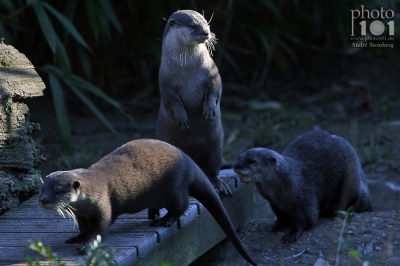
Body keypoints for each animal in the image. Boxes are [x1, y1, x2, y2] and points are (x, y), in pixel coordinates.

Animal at [37, 139, 256, 266]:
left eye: (58, 191)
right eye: (42, 188)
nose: (43, 200)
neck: (94, 186)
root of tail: (188, 161)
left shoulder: (103, 205)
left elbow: (100, 228)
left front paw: (87, 246)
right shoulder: (81, 214)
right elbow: (84, 227)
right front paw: (78, 237)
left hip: (174, 187)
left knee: (182, 205)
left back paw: (164, 220)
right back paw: (153, 213)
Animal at [156, 9, 231, 195]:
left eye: (206, 23)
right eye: (192, 25)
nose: (206, 32)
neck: (188, 69)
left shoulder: (212, 72)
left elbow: (215, 90)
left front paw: (210, 109)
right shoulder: (165, 82)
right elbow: (172, 101)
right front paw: (182, 117)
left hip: (215, 147)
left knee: (212, 169)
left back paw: (218, 184)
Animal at [233, 130, 374, 242]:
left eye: (252, 161)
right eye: (239, 157)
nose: (236, 166)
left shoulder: (304, 197)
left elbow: (307, 219)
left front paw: (293, 233)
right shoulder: (274, 203)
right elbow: (281, 216)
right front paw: (278, 225)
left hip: (351, 180)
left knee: (357, 199)